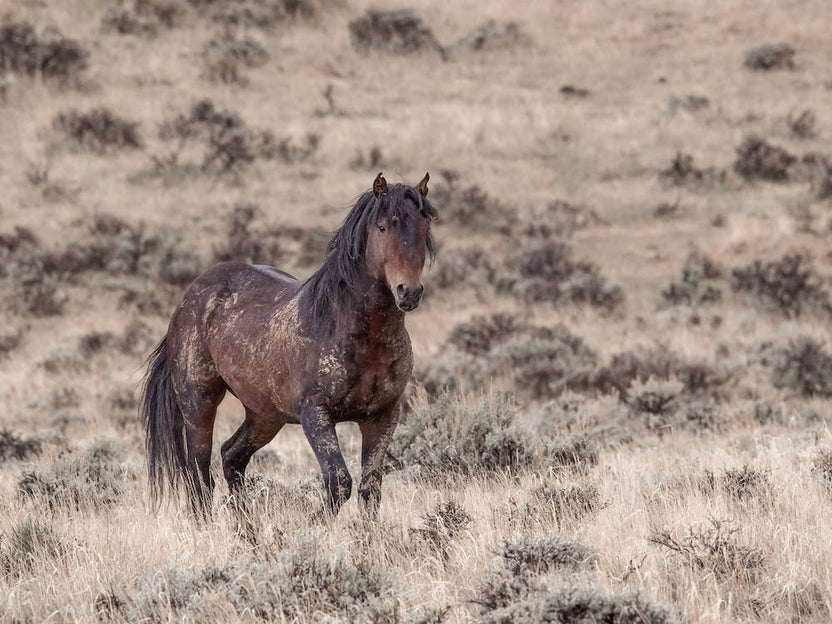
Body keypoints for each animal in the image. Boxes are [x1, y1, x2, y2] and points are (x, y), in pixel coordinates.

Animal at [140, 172, 437, 520]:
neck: (353, 331)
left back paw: (248, 529)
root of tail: (188, 298)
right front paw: (310, 525)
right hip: (198, 403)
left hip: (264, 416)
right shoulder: (315, 415)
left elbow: (370, 489)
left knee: (231, 456)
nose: (409, 292)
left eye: (424, 226)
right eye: (383, 227)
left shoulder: (383, 416)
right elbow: (339, 482)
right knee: (200, 475)